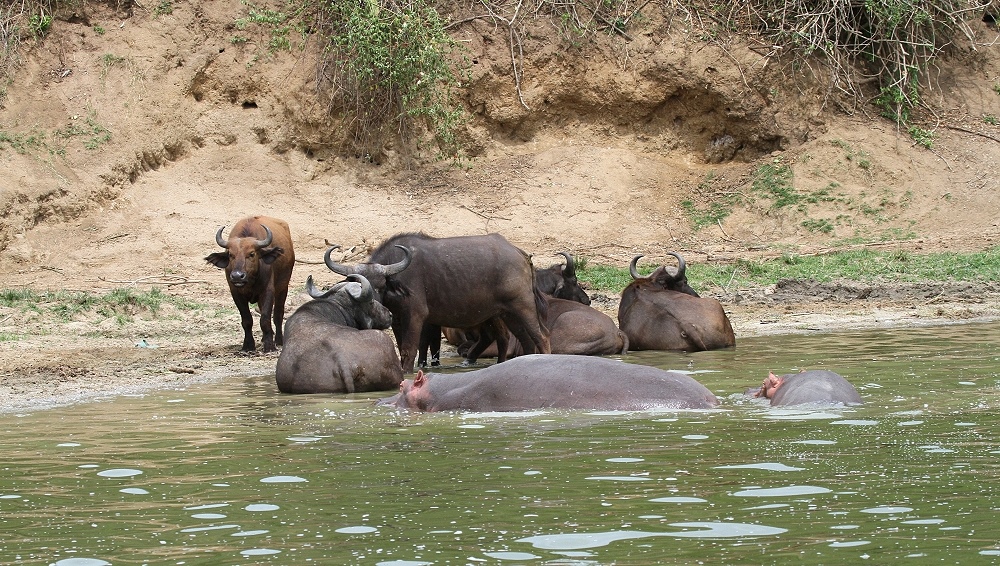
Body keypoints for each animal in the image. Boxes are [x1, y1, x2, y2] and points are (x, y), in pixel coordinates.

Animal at [205, 215, 292, 352]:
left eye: (251, 254)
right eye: (231, 255)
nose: (237, 276)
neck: (250, 281)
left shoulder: (268, 291)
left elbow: (265, 319)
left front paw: (269, 346)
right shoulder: (236, 293)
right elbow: (247, 320)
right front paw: (248, 345)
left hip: (283, 287)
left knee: (278, 314)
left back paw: (278, 340)